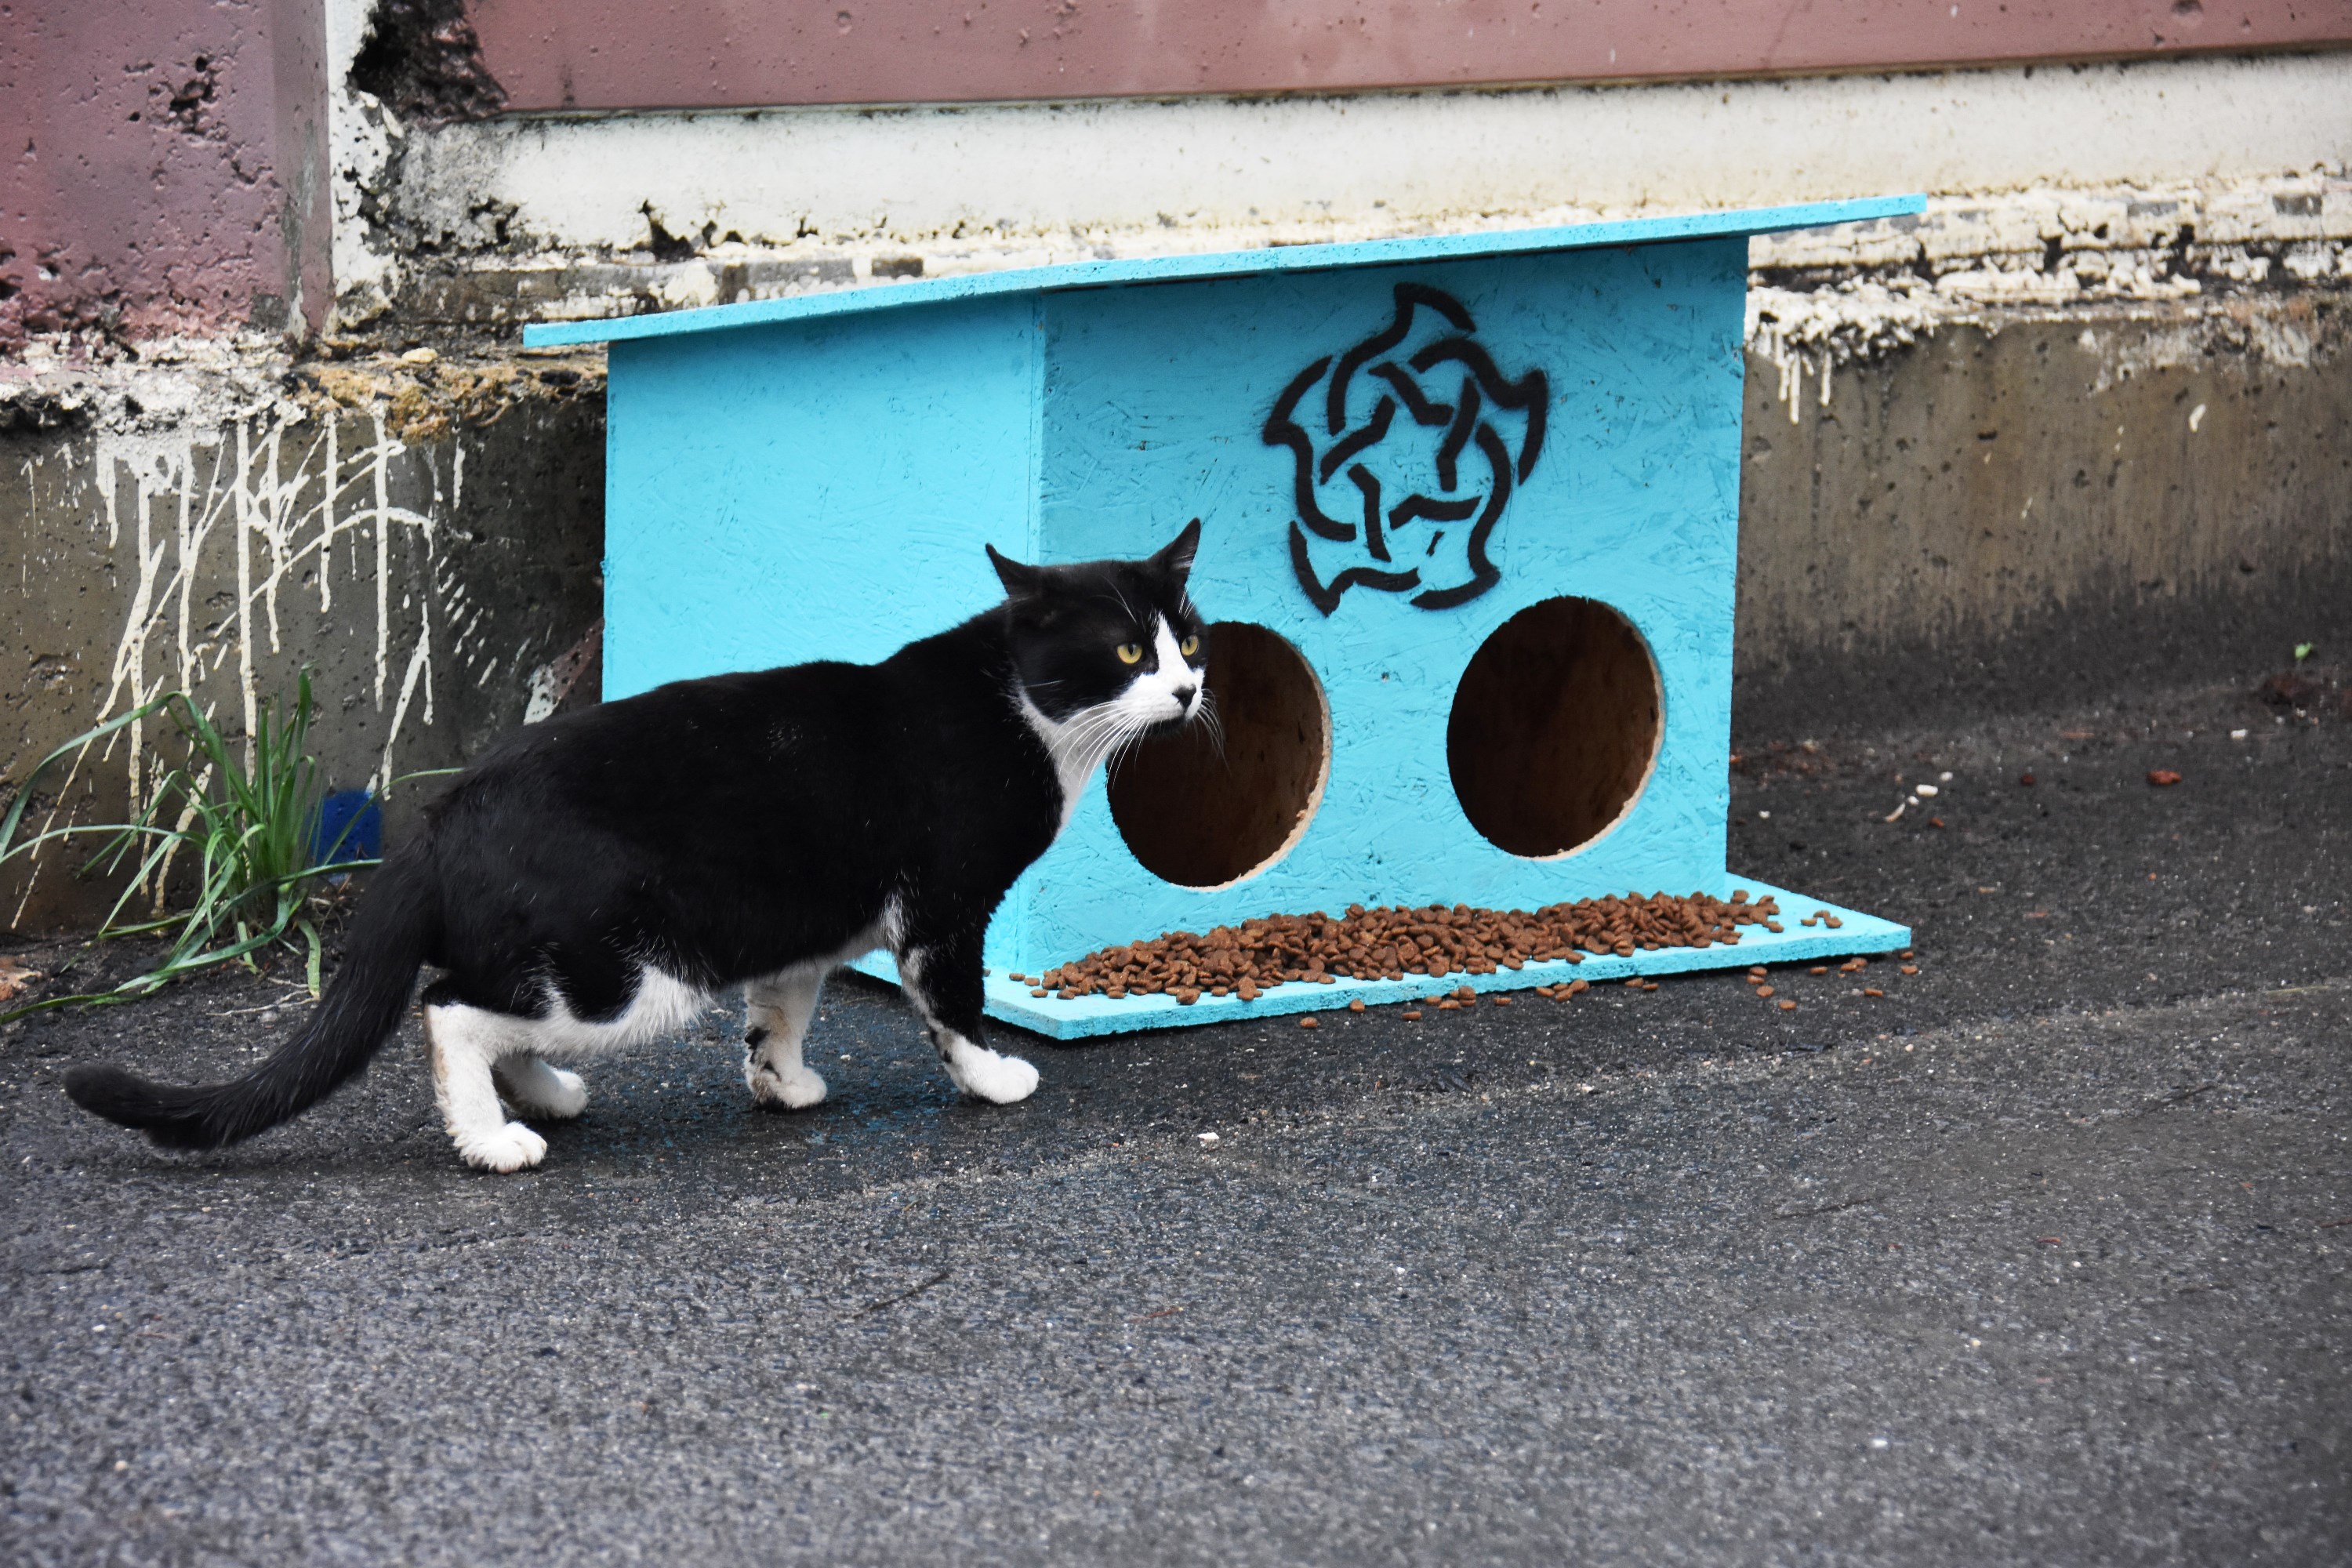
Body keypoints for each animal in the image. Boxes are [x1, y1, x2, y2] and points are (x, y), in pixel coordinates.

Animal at [68, 521, 1214, 1171]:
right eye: (1125, 651)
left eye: (1191, 639)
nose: (1189, 690)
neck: (1021, 712)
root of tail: (440, 821)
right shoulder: (944, 905)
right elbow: (953, 1005)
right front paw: (994, 1079)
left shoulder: (796, 926)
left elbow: (782, 1009)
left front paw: (782, 1085)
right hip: (627, 974)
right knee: (449, 1008)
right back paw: (492, 1139)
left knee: (486, 1002)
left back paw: (541, 1094)